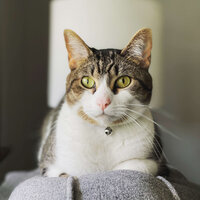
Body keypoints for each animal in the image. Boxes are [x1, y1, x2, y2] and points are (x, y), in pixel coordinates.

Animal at [38, 27, 167, 177]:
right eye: (87, 81)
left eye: (124, 81)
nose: (103, 102)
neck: (105, 132)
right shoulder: (50, 166)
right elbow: (68, 173)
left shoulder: (156, 161)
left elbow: (133, 167)